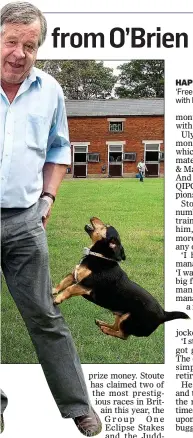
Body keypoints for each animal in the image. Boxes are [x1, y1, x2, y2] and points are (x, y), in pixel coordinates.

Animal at [53, 218, 189, 338]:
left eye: (106, 226)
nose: (93, 217)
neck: (100, 256)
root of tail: (163, 314)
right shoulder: (73, 276)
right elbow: (62, 283)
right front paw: (53, 291)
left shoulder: (85, 285)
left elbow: (69, 289)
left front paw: (58, 299)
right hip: (119, 315)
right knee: (116, 327)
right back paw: (102, 324)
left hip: (128, 319)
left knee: (122, 335)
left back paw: (106, 329)